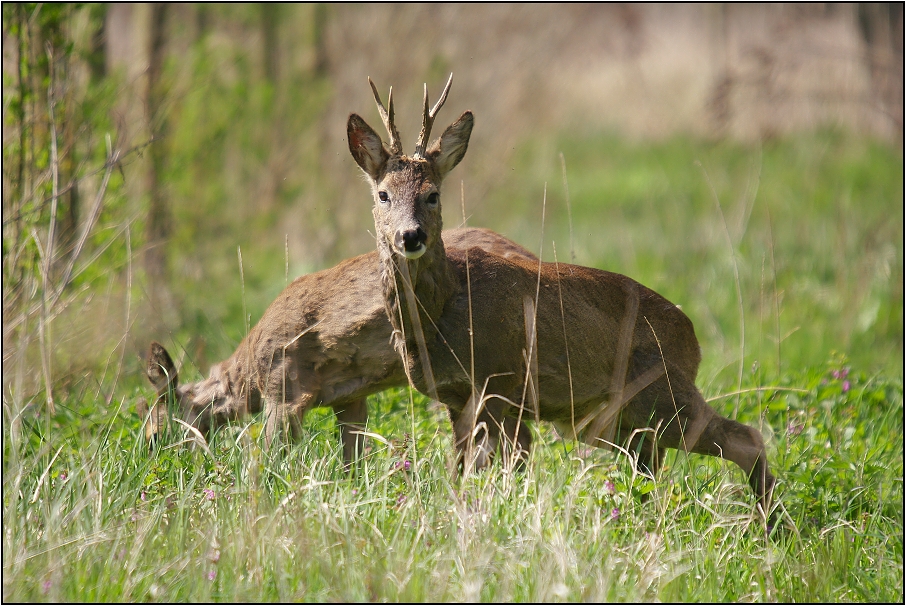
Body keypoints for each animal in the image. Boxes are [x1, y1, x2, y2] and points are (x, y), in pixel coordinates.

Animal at [137, 227, 532, 466]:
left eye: (155, 433)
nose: (146, 465)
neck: (248, 380)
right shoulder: (349, 398)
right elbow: (351, 464)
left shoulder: (284, 392)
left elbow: (270, 461)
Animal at [346, 75, 776, 512]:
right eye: (383, 194)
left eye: (433, 194)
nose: (410, 235)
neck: (441, 312)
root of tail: (693, 337)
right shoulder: (457, 397)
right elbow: (462, 469)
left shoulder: (499, 381)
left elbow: (489, 468)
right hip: (611, 421)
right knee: (652, 467)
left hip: (662, 391)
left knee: (746, 439)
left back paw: (769, 521)